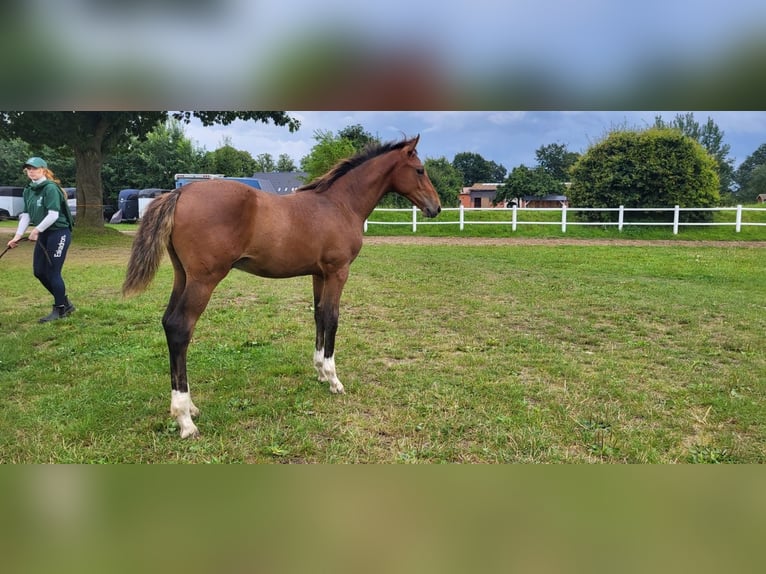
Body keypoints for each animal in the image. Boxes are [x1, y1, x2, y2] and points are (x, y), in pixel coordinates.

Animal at [123, 136, 440, 440]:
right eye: (420, 169)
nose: (435, 207)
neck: (340, 205)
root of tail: (179, 193)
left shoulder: (319, 274)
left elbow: (319, 315)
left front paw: (320, 373)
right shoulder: (338, 272)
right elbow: (333, 319)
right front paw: (334, 380)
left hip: (183, 276)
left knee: (168, 322)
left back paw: (190, 408)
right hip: (204, 280)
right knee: (180, 328)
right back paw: (185, 421)